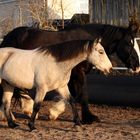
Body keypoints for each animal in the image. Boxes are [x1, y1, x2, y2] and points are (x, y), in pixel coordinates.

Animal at [0, 22, 139, 124]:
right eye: (129, 43)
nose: (137, 67)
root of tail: (7, 37)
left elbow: (72, 95)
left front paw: (55, 112)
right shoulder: (78, 73)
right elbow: (82, 94)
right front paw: (88, 118)